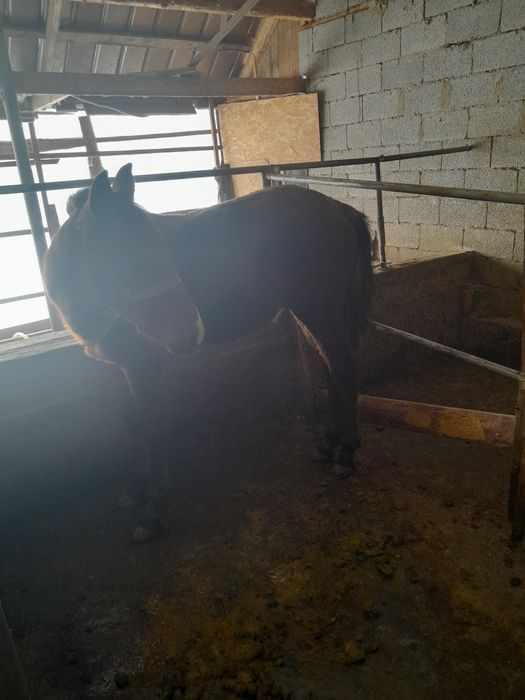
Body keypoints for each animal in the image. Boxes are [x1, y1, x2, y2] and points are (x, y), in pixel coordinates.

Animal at [44, 164, 373, 543]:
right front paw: (135, 491)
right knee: (331, 366)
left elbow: (150, 427)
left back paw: (345, 453)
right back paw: (326, 446)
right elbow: (132, 425)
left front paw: (154, 509)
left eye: (161, 244)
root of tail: (338, 209)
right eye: (124, 258)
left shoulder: (143, 366)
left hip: (319, 309)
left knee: (343, 366)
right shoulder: (119, 367)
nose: (191, 330)